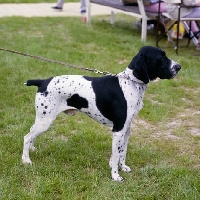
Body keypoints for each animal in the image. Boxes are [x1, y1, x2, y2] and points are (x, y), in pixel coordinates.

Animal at [21, 46, 181, 181]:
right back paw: (26, 160)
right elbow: (116, 155)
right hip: (45, 120)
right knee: (27, 137)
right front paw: (115, 176)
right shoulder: (118, 130)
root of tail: (43, 82)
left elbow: (122, 152)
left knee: (31, 132)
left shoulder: (126, 129)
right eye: (162, 58)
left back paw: (32, 149)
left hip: (42, 119)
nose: (179, 67)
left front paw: (123, 168)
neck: (130, 83)